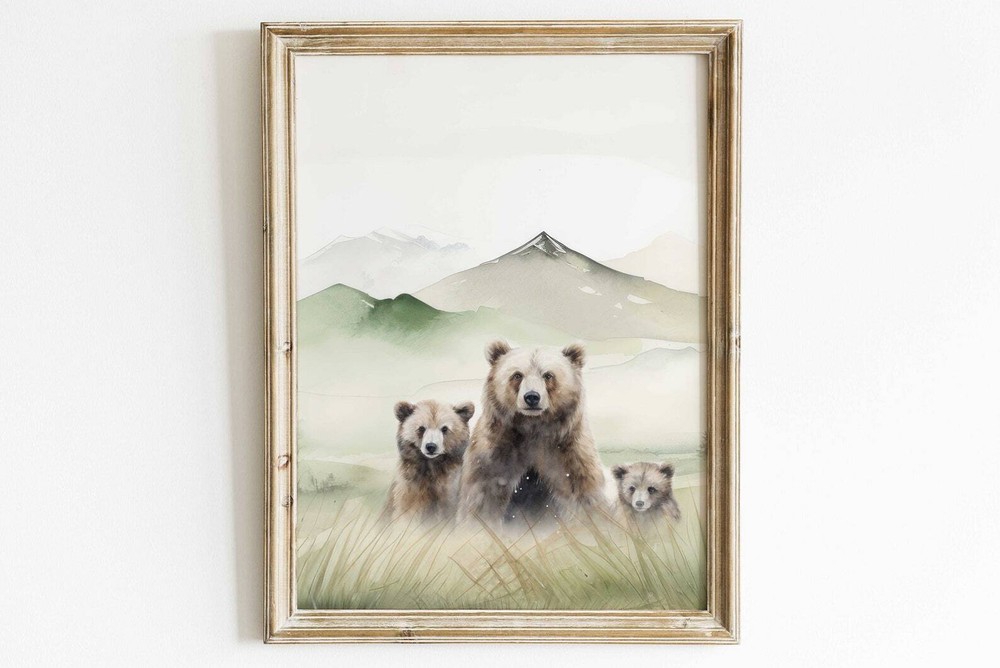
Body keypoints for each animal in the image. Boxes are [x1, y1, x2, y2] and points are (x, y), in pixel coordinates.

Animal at [456, 340, 606, 530]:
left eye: (548, 375)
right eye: (517, 375)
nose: (532, 397)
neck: (533, 428)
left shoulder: (569, 455)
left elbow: (583, 497)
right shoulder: (494, 455)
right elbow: (481, 501)